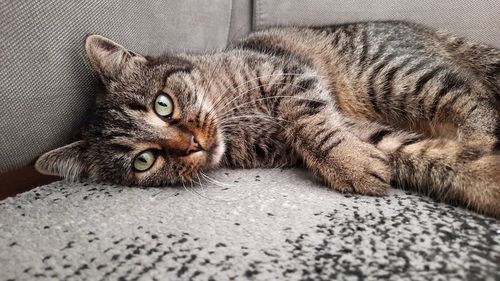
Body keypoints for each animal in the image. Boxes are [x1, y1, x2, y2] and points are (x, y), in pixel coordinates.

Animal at [35, 21, 500, 217]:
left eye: (163, 105)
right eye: (143, 160)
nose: (193, 144)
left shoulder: (288, 74)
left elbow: (309, 122)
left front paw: (346, 163)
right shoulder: (360, 130)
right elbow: (430, 156)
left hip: (394, 76)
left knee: (472, 99)